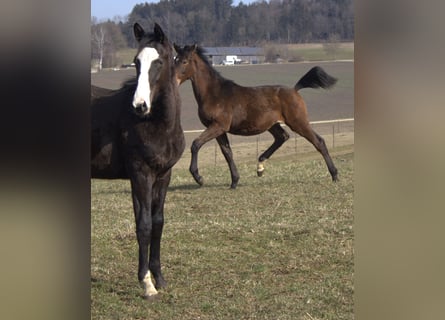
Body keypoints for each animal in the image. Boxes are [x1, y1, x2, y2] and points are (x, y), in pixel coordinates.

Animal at [91, 23, 185, 300]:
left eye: (159, 61)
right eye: (136, 62)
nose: (140, 105)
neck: (154, 124)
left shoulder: (163, 175)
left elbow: (157, 223)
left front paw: (160, 279)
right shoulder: (141, 174)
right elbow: (143, 225)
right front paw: (147, 284)